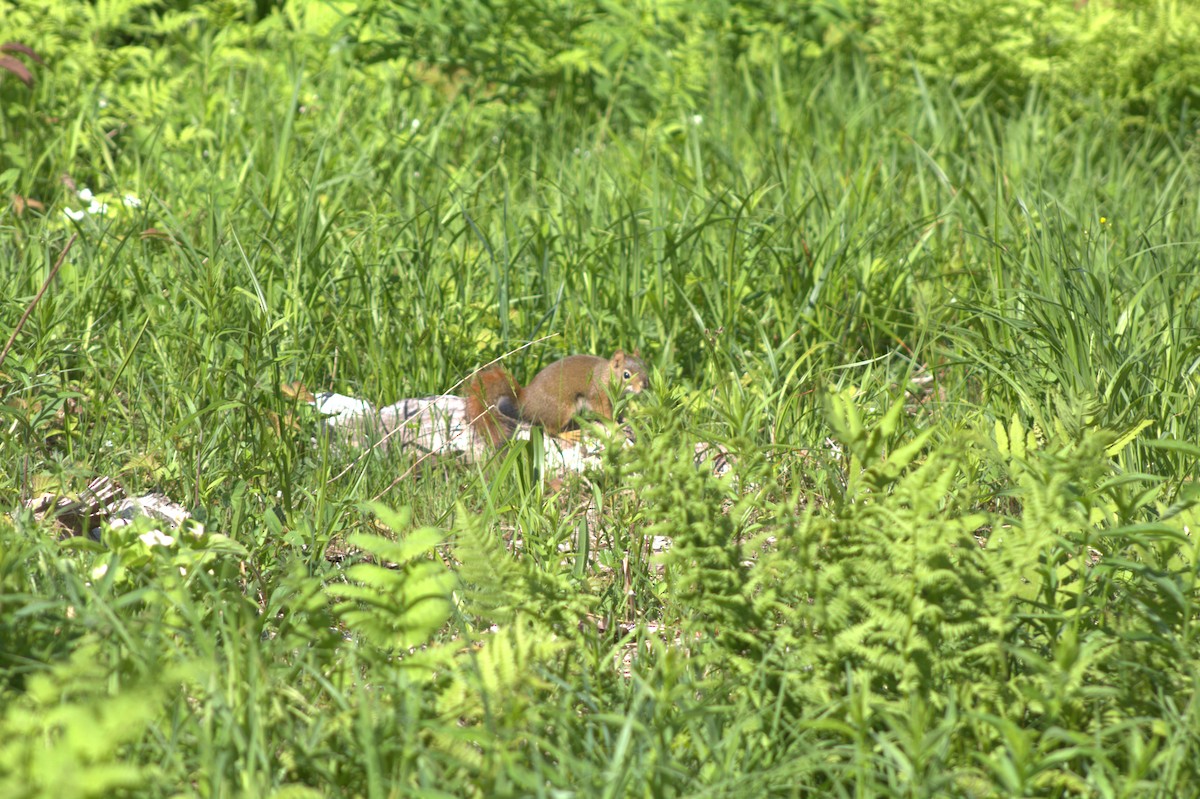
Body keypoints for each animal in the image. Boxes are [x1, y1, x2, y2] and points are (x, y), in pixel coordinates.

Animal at [466, 351, 649, 445]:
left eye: (644, 365)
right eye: (626, 375)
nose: (645, 385)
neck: (606, 375)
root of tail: (526, 402)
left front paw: (624, 420)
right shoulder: (597, 394)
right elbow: (604, 413)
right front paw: (615, 426)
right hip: (563, 409)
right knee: (550, 431)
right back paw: (569, 435)